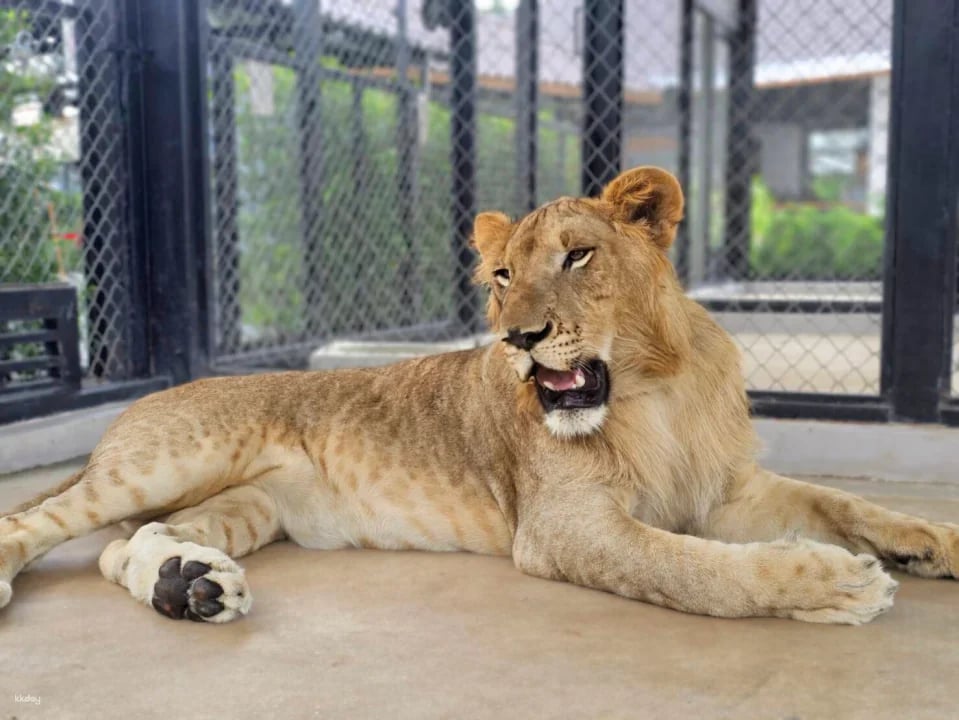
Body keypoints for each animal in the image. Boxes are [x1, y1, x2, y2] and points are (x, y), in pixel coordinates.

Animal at [1, 166, 956, 624]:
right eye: (501, 275)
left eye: (577, 256)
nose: (519, 339)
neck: (655, 391)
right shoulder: (563, 528)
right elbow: (693, 571)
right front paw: (833, 586)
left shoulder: (726, 491)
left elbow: (837, 502)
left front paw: (930, 542)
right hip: (170, 460)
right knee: (42, 524)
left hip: (248, 505)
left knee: (123, 546)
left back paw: (188, 585)